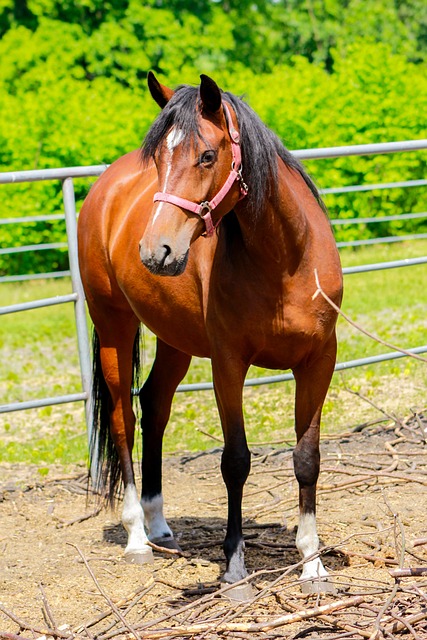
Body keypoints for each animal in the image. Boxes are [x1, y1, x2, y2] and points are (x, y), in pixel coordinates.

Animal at [77, 72, 344, 596]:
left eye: (205, 156)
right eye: (159, 160)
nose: (156, 251)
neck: (285, 259)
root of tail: (105, 187)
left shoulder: (319, 360)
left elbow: (307, 458)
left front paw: (313, 565)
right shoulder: (228, 364)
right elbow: (235, 461)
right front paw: (235, 569)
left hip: (173, 338)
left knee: (154, 404)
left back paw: (160, 526)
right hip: (113, 325)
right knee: (122, 418)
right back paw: (137, 536)